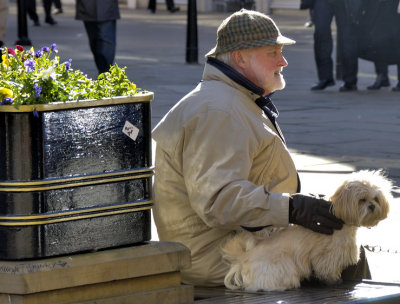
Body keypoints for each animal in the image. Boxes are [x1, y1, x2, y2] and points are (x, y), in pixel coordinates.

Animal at [222, 170, 394, 290]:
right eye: (362, 200)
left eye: (376, 199)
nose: (372, 206)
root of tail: (246, 256)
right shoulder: (328, 255)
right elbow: (328, 269)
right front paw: (334, 280)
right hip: (283, 266)